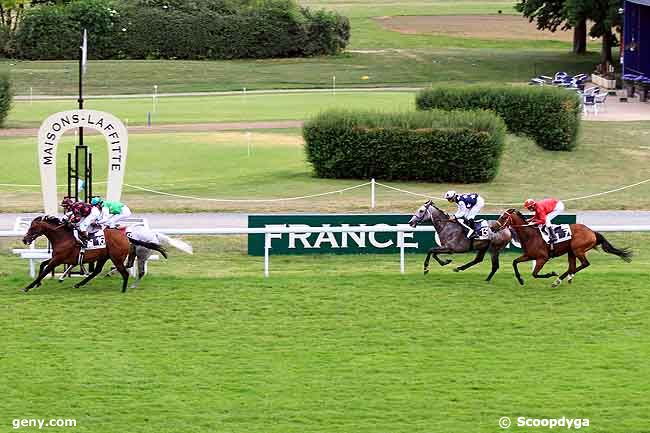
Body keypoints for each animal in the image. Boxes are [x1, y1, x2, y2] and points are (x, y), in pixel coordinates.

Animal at [494, 208, 632, 286]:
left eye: (504, 217)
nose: (493, 227)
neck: (530, 235)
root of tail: (592, 232)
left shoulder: (542, 258)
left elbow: (535, 273)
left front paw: (551, 273)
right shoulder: (529, 255)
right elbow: (514, 262)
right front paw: (520, 280)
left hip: (578, 249)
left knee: (584, 264)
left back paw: (563, 278)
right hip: (571, 251)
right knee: (572, 266)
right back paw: (562, 279)